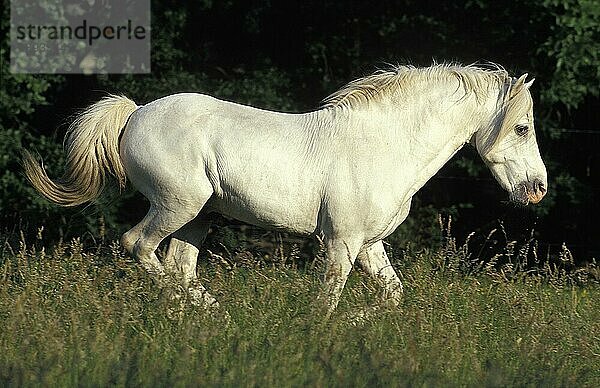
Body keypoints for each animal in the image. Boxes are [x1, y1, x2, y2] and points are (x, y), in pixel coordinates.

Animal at [23, 63, 548, 316]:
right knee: (137, 246)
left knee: (178, 267)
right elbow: (327, 300)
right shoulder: (341, 243)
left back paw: (211, 316)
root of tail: (134, 113)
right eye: (522, 128)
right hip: (178, 205)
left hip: (198, 218)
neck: (383, 145)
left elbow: (392, 296)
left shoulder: (370, 245)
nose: (538, 189)